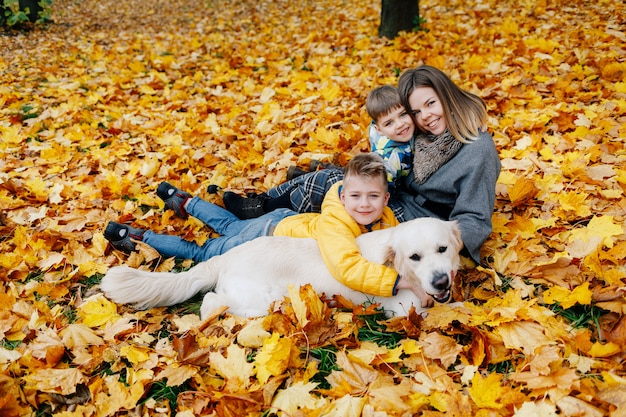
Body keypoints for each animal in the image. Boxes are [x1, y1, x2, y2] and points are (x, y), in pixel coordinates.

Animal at [97, 216, 458, 316]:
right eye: (414, 257)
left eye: (442, 249)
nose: (441, 282)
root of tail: (225, 257)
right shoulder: (404, 308)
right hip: (260, 300)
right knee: (211, 302)